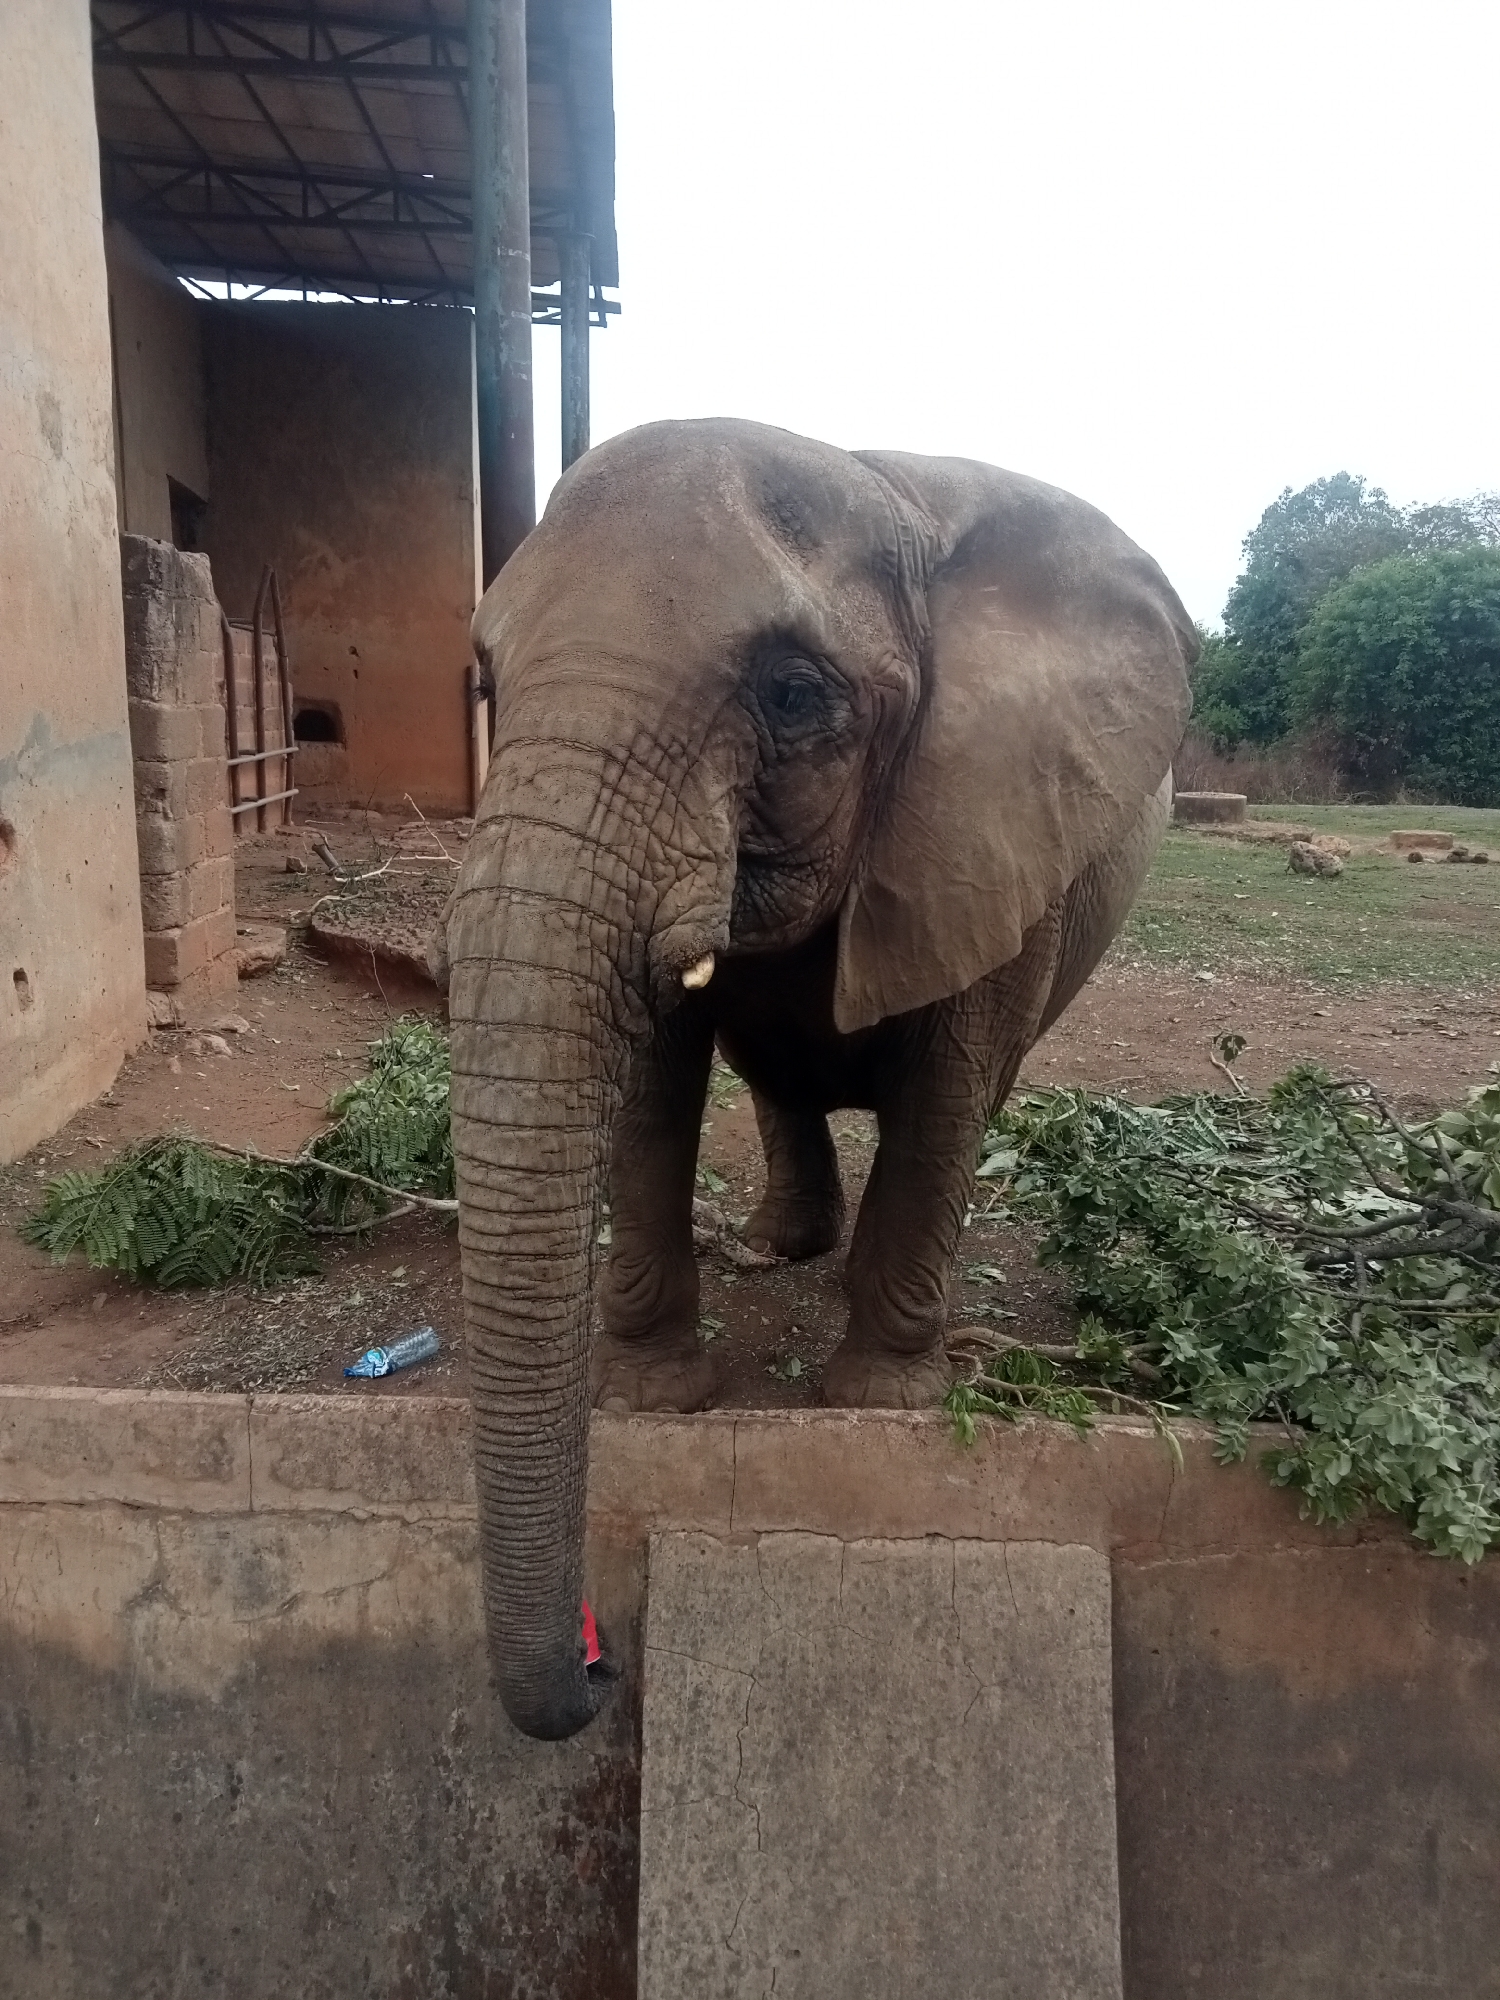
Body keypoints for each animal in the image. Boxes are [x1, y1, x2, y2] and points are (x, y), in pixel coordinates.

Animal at [437, 417, 1196, 1739]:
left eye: (794, 695)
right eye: (487, 682)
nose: (597, 1659)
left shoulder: (991, 820)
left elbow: (944, 1091)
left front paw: (879, 1406)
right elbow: (656, 1084)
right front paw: (655, 1399)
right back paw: (783, 1243)